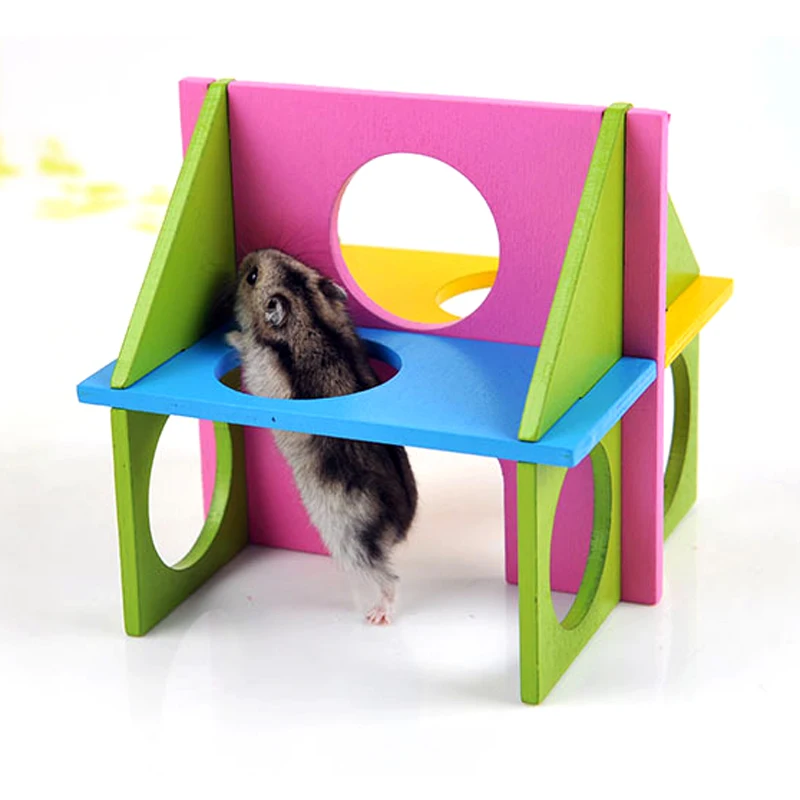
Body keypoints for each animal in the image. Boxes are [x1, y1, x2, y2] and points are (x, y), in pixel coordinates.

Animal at [226, 248, 418, 625]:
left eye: (252, 276)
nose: (249, 255)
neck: (309, 316)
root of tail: (399, 526)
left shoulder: (259, 368)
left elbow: (245, 346)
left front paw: (229, 334)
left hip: (349, 541)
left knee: (388, 577)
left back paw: (378, 615)